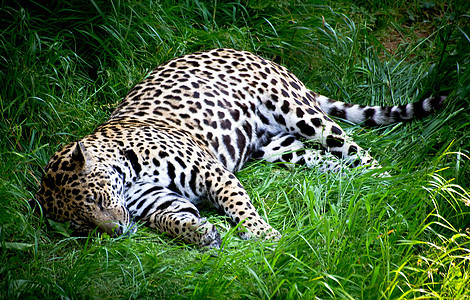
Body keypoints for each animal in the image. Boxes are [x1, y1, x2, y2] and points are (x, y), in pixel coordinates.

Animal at [34, 47, 444, 248]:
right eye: (80, 225)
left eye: (96, 201)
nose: (118, 231)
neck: (125, 169)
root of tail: (256, 54)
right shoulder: (161, 202)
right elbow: (172, 220)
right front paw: (201, 235)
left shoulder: (211, 172)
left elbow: (239, 206)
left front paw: (264, 235)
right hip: (280, 147)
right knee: (326, 159)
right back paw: (357, 184)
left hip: (298, 112)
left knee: (351, 147)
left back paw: (388, 181)